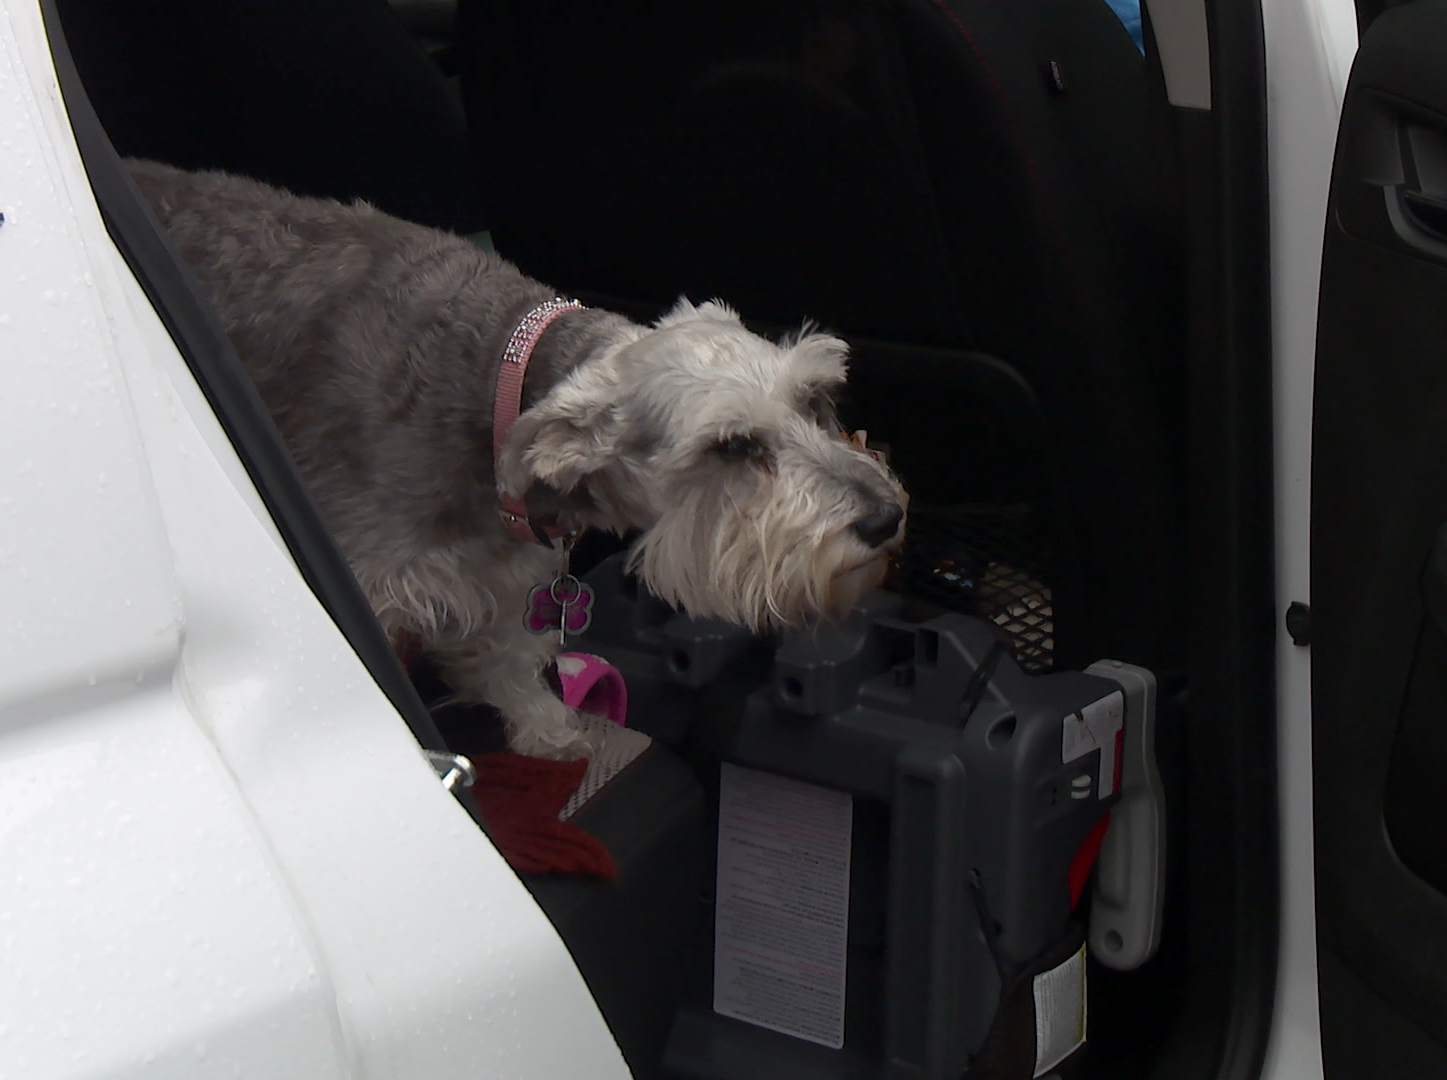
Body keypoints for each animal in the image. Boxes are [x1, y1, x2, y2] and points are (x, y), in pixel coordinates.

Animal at [128, 159, 908, 758]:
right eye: (732, 446)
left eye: (815, 398)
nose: (886, 517)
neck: (498, 379)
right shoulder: (372, 580)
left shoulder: (499, 578)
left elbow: (505, 654)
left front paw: (548, 727)